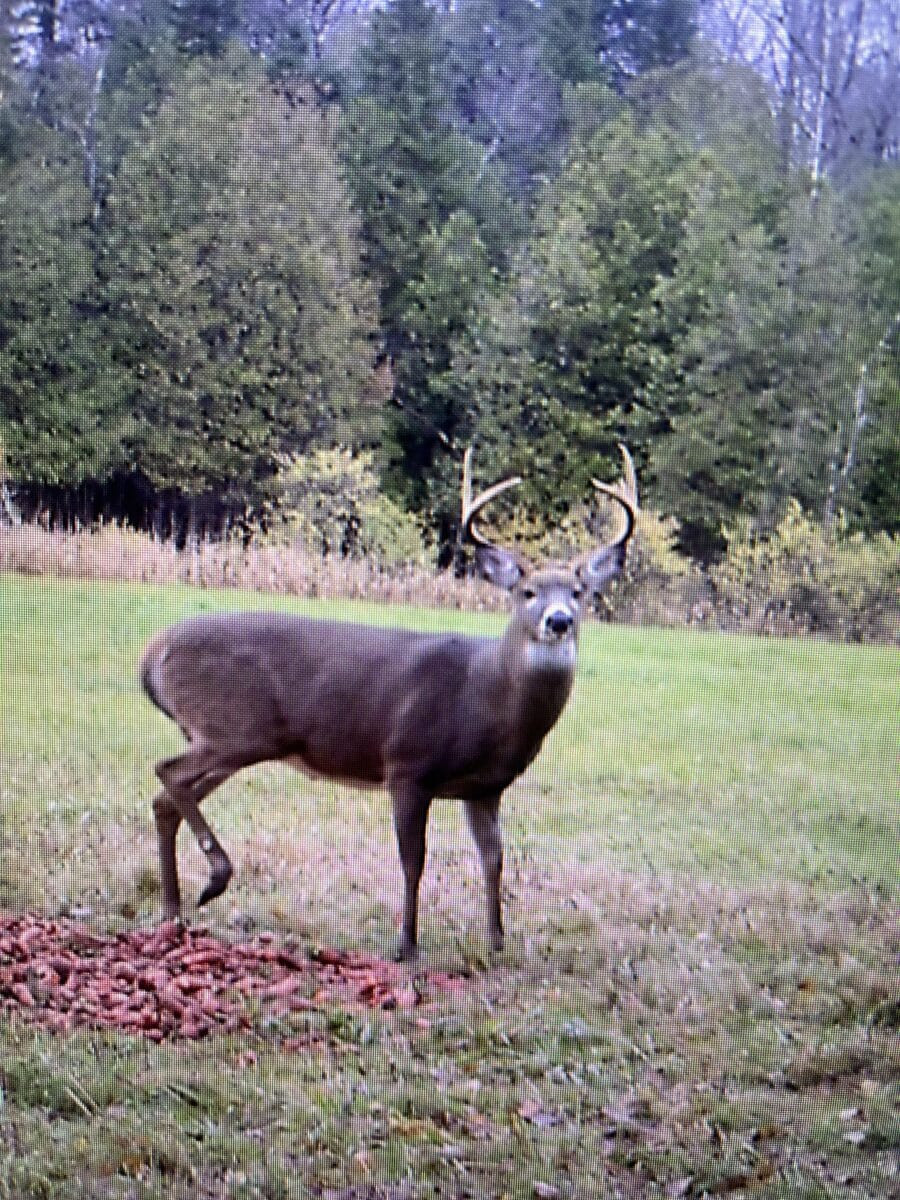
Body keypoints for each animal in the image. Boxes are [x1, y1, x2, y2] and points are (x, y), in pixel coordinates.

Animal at [137, 446, 638, 960]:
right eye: (527, 592)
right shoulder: (407, 764)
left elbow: (494, 858)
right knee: (166, 771)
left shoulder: (485, 788)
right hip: (232, 729)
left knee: (165, 799)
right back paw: (214, 878)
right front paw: (407, 945)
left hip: (231, 739)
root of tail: (152, 656)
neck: (486, 698)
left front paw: (498, 941)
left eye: (579, 593)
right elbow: (413, 860)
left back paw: (174, 910)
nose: (559, 620)